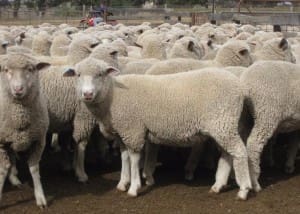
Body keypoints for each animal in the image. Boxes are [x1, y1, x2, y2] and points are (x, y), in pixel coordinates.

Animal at [0, 53, 49, 207]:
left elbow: (34, 168)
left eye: (30, 69)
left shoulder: (39, 141)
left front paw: (40, 196)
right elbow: (2, 170)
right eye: (6, 70)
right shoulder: (1, 143)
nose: (18, 89)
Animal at [63, 57, 253, 201]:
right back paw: (218, 185)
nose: (87, 94)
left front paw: (134, 188)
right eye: (78, 75)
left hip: (223, 122)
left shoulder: (133, 130)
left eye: (100, 74)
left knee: (239, 151)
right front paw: (123, 183)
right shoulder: (122, 133)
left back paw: (243, 190)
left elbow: (134, 158)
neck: (112, 96)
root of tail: (240, 87)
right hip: (223, 125)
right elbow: (124, 158)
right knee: (227, 154)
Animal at [240, 59, 300, 192]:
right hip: (266, 113)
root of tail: (245, 84)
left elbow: (294, 142)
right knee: (254, 144)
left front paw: (289, 165)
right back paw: (255, 183)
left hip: (246, 117)